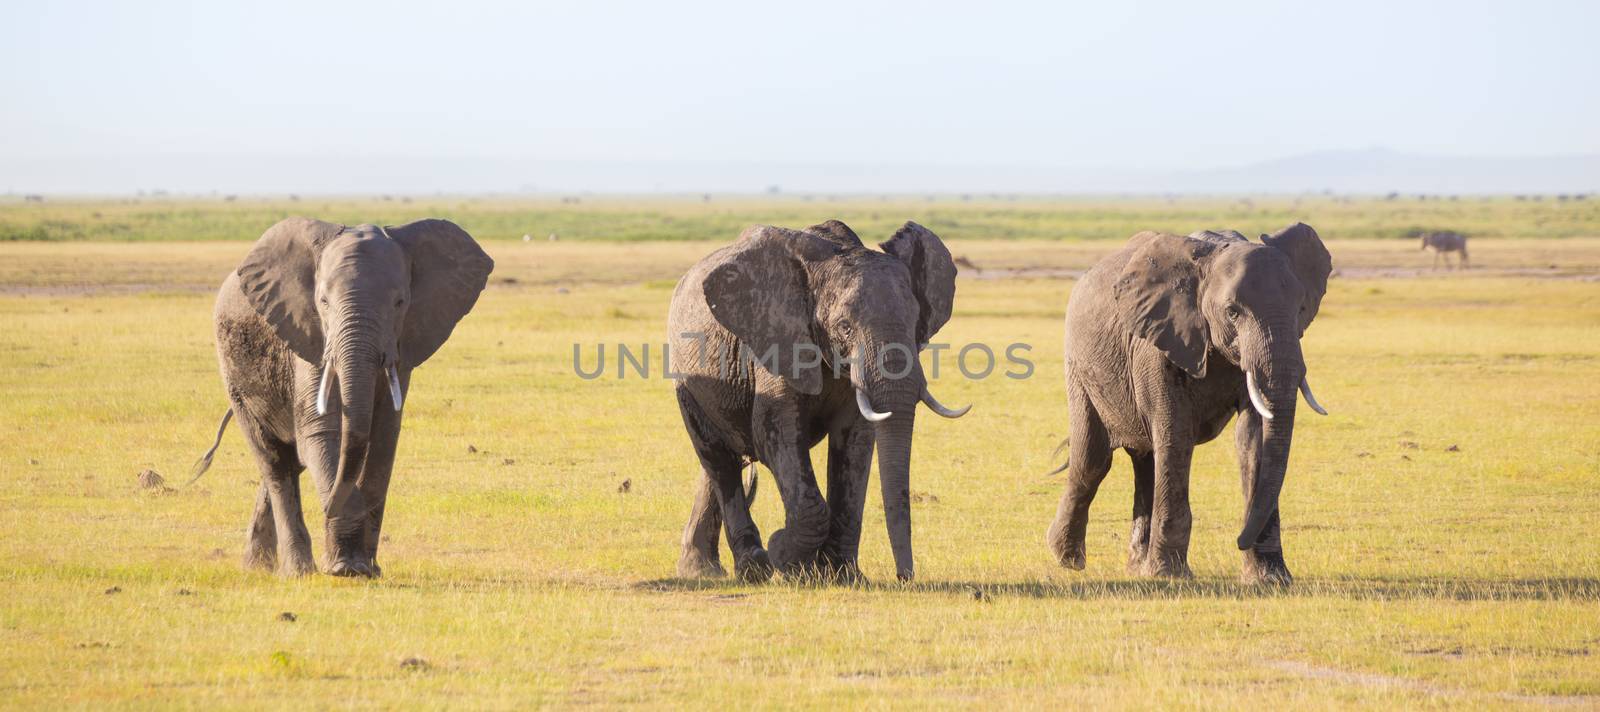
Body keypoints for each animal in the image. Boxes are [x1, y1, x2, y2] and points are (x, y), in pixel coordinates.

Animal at [188, 217, 486, 576]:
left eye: (400, 303)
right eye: (323, 302)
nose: (329, 508)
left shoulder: (402, 346)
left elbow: (384, 438)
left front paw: (364, 568)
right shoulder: (308, 335)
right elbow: (322, 433)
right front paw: (346, 567)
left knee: (288, 464)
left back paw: (259, 567)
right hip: (234, 374)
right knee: (275, 462)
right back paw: (296, 571)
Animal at [668, 219, 966, 579]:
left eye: (915, 323)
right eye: (845, 327)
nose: (904, 576)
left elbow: (855, 442)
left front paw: (842, 574)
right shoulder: (775, 338)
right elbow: (774, 436)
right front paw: (785, 556)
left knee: (722, 460)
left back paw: (703, 570)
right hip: (685, 376)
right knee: (718, 458)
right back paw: (750, 567)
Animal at [1043, 224, 1331, 582]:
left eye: (1300, 309)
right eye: (1232, 312)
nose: (1239, 539)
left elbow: (1253, 439)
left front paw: (1270, 579)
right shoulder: (1157, 341)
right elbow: (1176, 434)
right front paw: (1169, 576)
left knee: (1145, 460)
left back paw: (1136, 565)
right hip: (1079, 367)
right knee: (1091, 460)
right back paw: (1068, 559)